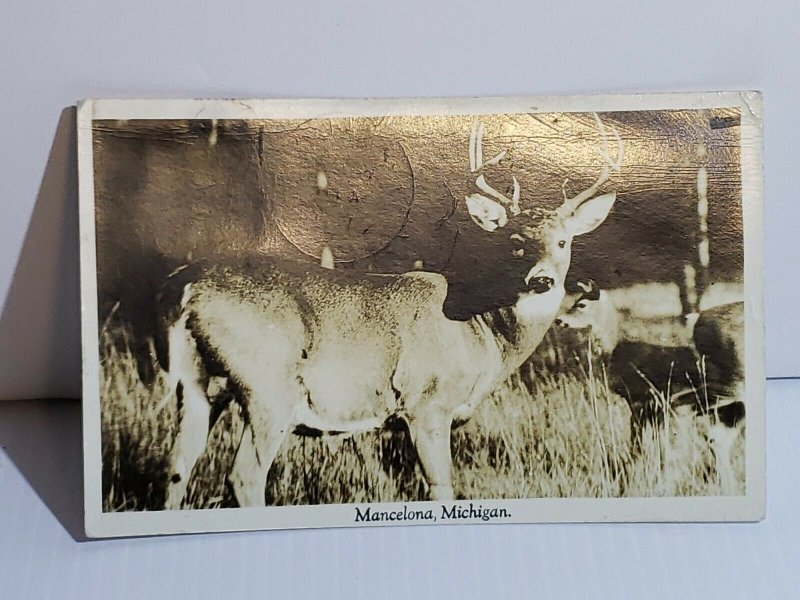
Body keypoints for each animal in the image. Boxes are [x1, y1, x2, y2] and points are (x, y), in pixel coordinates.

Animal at [161, 112, 624, 506]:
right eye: (515, 243)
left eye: (562, 241)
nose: (541, 279)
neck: (484, 337)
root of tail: (189, 289)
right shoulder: (427, 402)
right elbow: (440, 487)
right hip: (267, 385)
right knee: (243, 476)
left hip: (198, 383)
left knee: (177, 468)